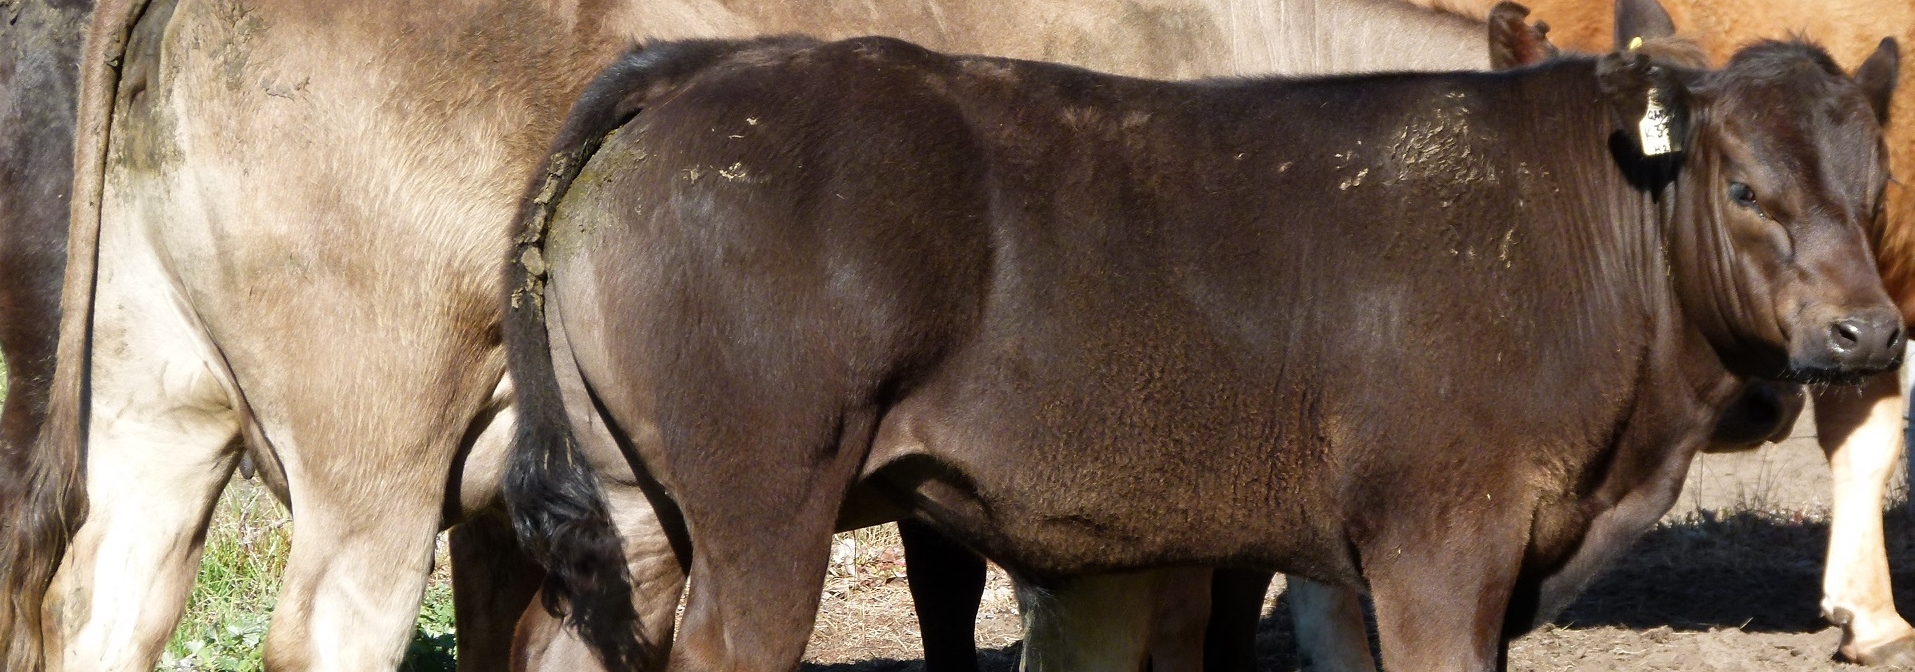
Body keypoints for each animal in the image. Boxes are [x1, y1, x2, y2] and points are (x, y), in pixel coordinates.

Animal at [501, 27, 1903, 672]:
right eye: (1743, 188)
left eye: (1873, 177)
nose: (1867, 330)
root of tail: (706, 64)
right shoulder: (1441, 541)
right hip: (763, 515)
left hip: (640, 507)